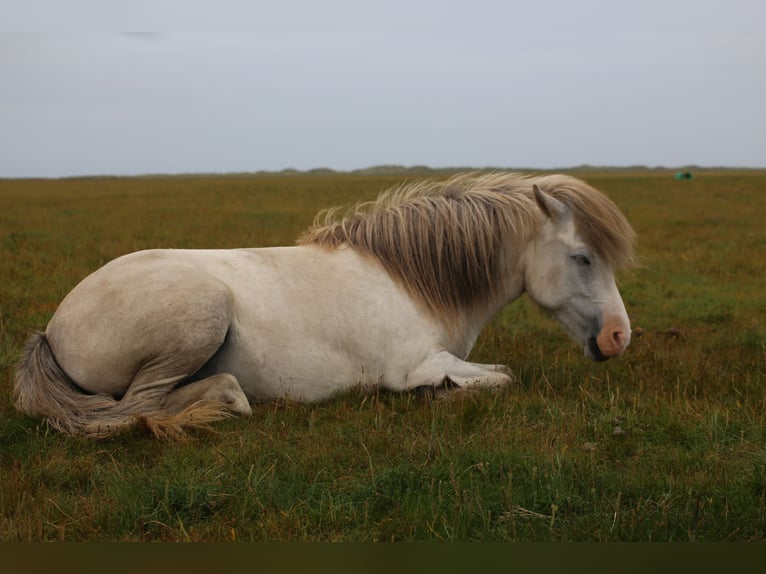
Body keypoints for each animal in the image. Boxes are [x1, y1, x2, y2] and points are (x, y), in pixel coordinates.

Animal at [13, 173, 636, 438]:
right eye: (582, 257)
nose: (618, 338)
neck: (411, 279)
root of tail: (54, 329)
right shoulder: (418, 363)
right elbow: (503, 377)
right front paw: (440, 394)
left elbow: (498, 371)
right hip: (203, 312)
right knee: (137, 408)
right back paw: (224, 401)